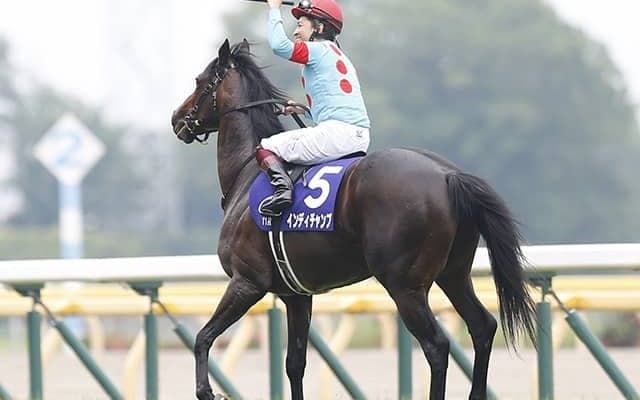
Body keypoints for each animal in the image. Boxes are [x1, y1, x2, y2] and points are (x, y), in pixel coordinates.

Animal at [171, 39, 536, 400]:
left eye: (199, 82)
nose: (176, 118)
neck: (247, 174)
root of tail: (448, 175)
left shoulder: (247, 281)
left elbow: (203, 338)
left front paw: (206, 390)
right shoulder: (296, 295)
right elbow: (295, 364)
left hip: (405, 285)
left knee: (437, 345)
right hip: (454, 273)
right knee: (482, 326)